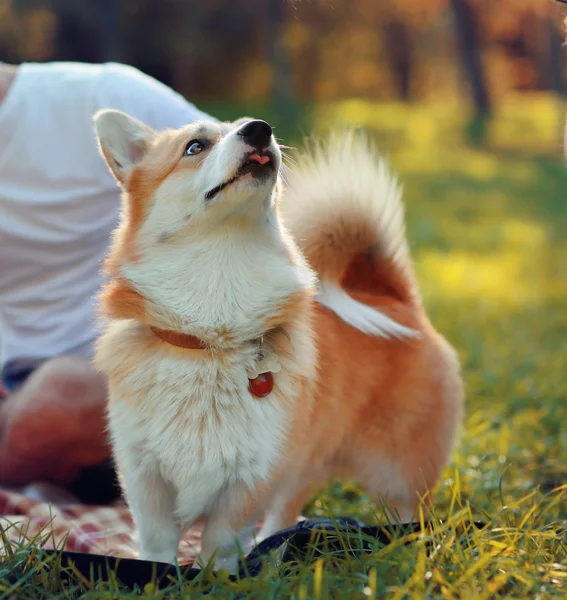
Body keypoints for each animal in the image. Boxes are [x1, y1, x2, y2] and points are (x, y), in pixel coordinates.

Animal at [93, 113, 464, 572]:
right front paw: (156, 573)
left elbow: (219, 543)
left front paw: (218, 577)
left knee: (408, 516)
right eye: (195, 146)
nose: (259, 128)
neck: (212, 336)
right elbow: (158, 542)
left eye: (248, 126)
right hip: (304, 466)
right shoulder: (145, 475)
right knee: (285, 516)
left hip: (397, 475)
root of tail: (393, 297)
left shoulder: (252, 477)